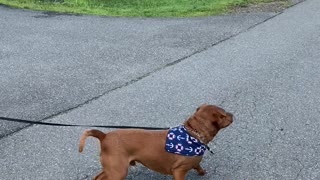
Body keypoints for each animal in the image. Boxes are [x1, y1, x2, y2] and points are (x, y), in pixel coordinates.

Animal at [79, 104, 234, 180]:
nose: (232, 114)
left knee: (98, 177)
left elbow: (198, 166)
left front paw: (201, 172)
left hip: (112, 168)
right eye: (223, 115)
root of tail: (104, 136)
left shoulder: (194, 162)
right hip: (118, 171)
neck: (193, 134)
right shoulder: (178, 172)